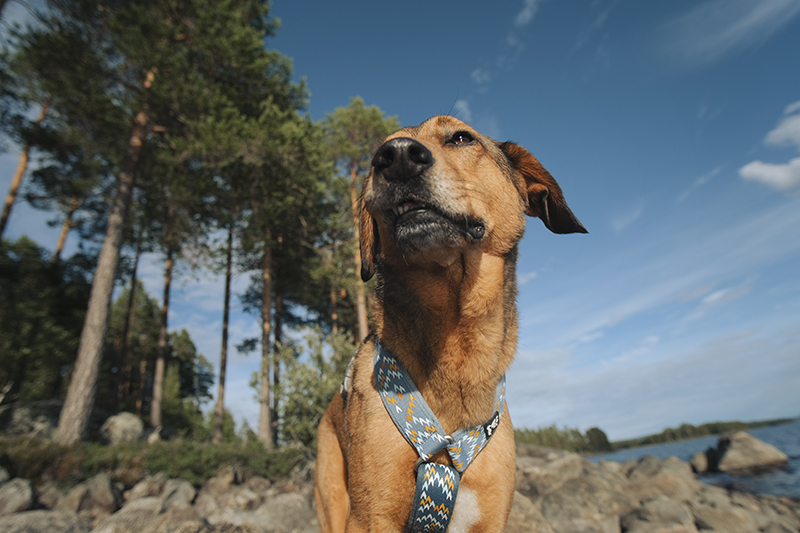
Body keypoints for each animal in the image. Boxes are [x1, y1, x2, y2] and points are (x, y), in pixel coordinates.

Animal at [314, 114, 588, 528]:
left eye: (461, 137)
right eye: (381, 152)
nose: (396, 157)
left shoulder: (491, 519)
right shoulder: (369, 519)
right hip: (333, 498)